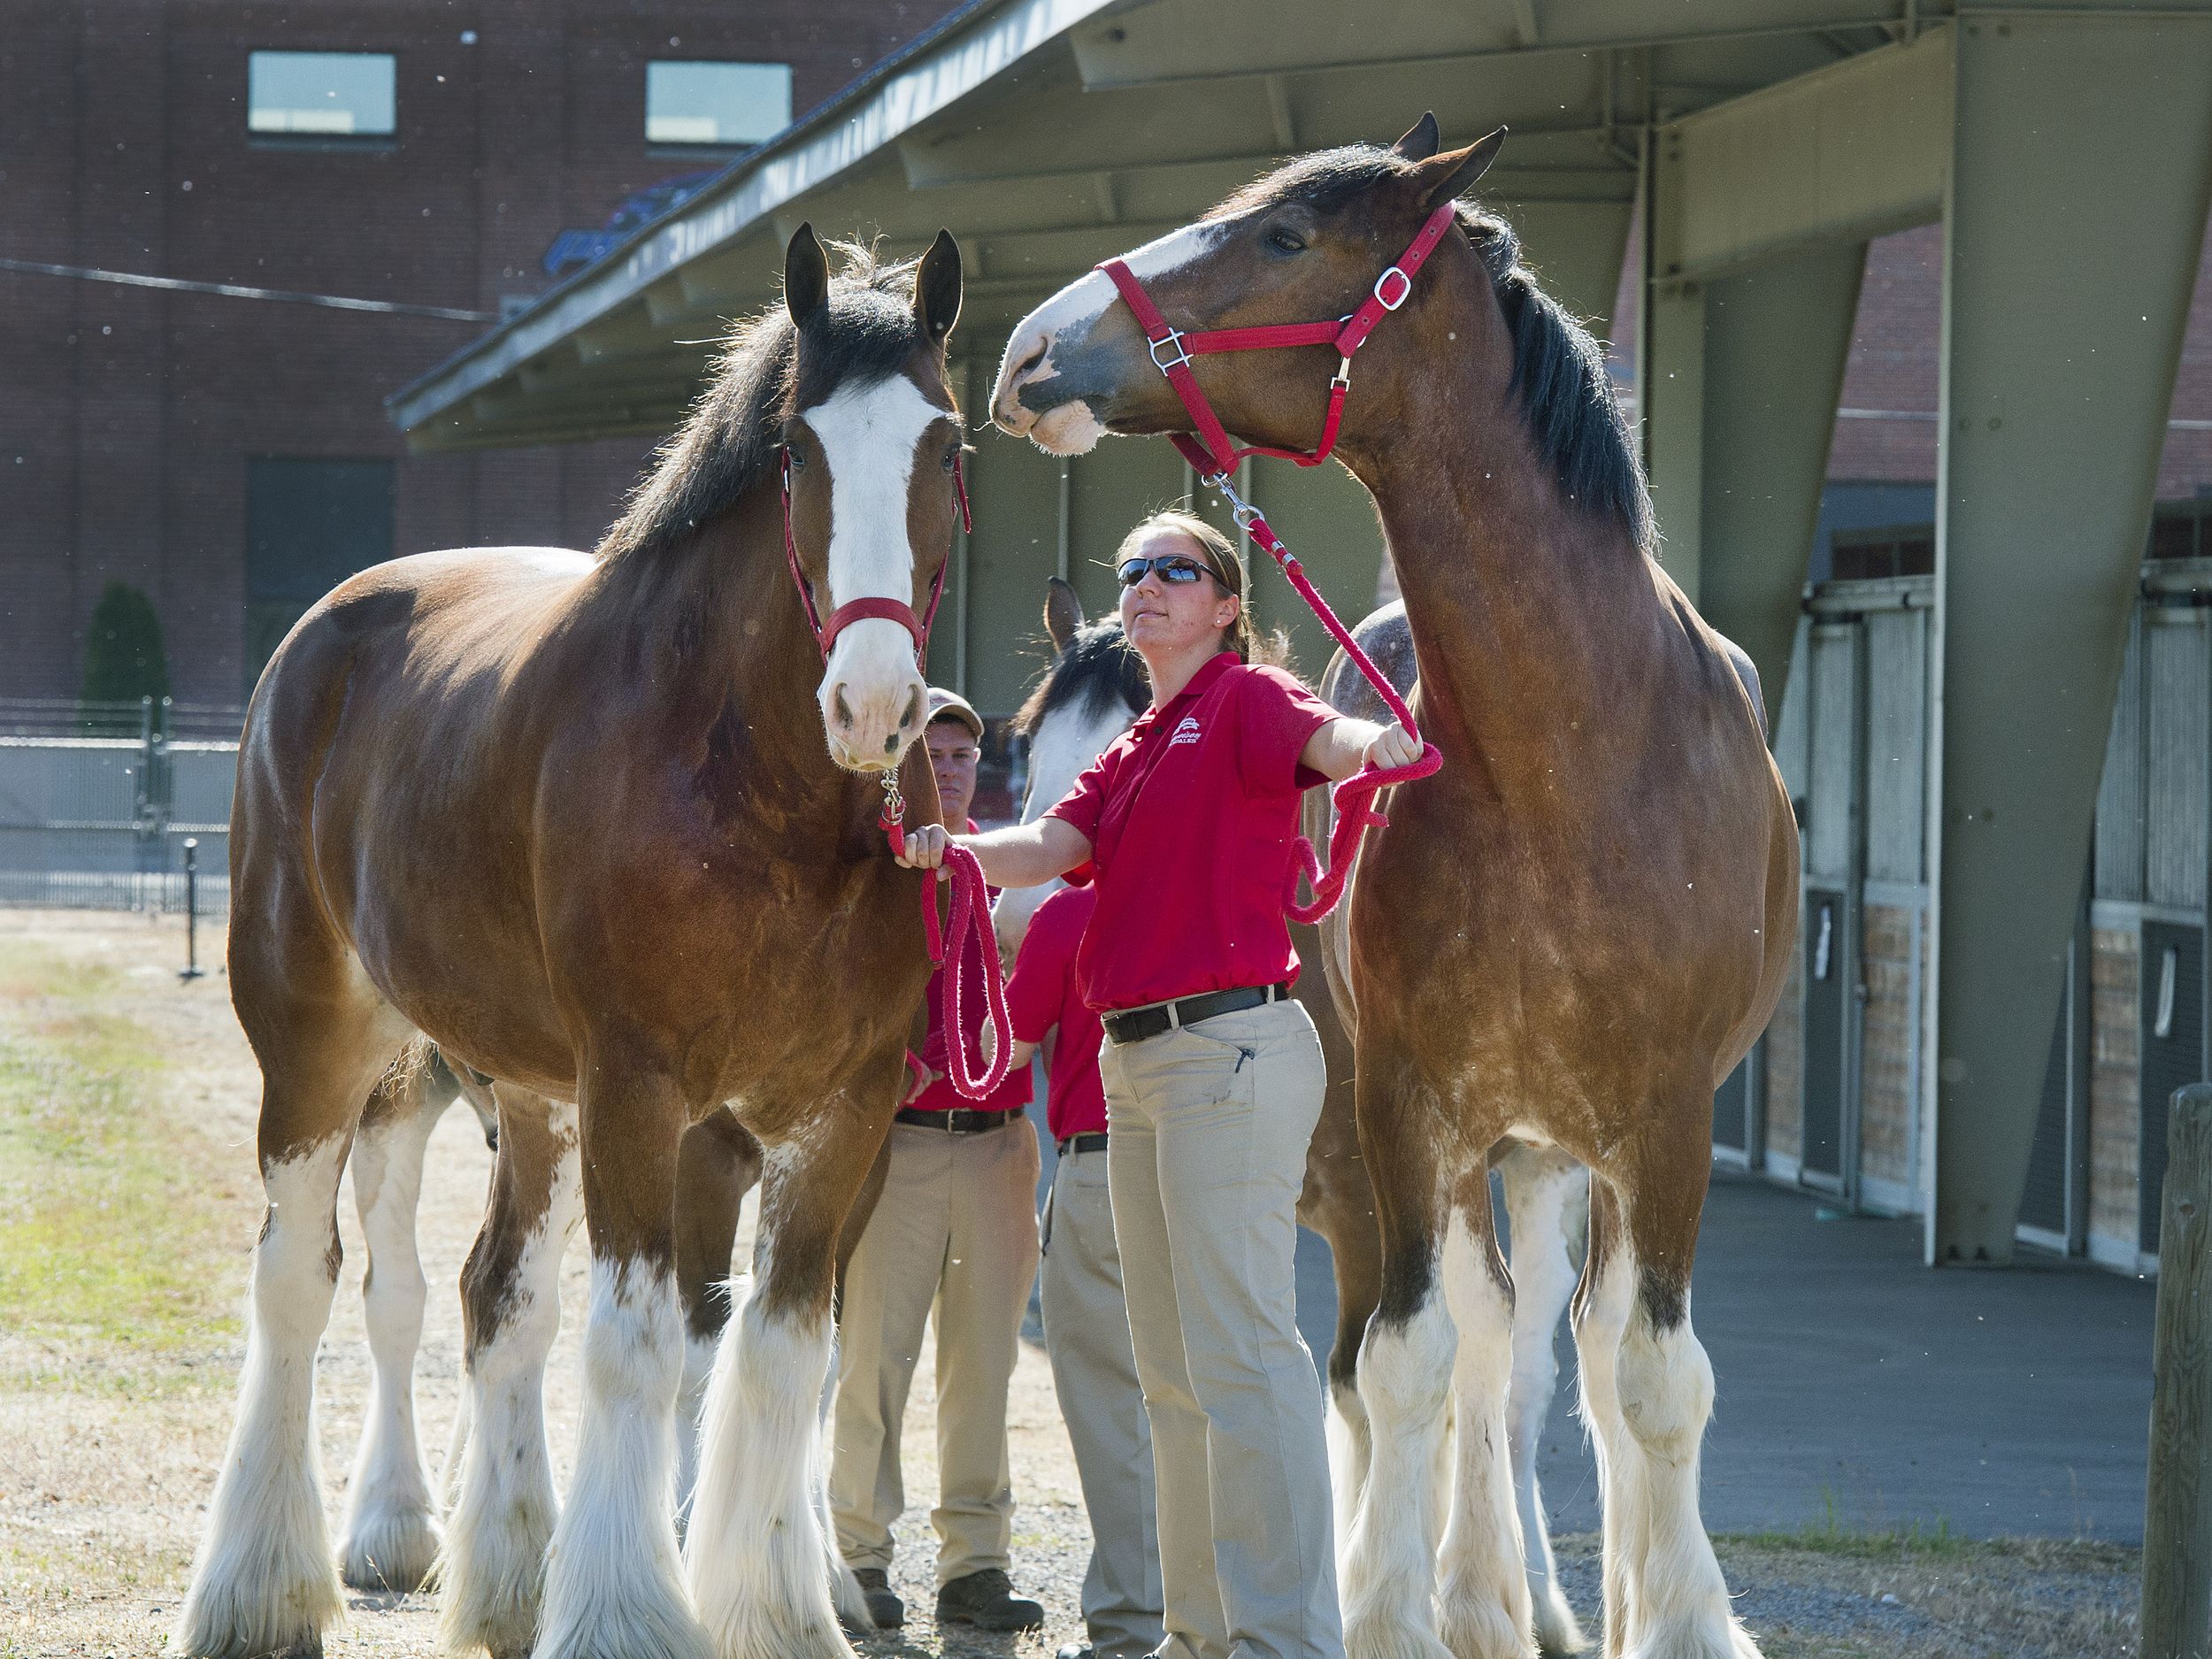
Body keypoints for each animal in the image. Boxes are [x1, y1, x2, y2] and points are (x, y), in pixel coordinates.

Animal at [168, 231, 964, 1659]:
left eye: (948, 445)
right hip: (321, 1046)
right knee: (300, 1280)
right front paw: (625, 1611)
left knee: (501, 1299)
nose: (872, 704)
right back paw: (261, 1587)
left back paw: (507, 1576)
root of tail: (319, 639)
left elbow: (782, 1353)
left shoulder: (846, 1107)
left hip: (531, 1094)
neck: (755, 785)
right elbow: (640, 1345)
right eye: (796, 452)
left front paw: (776, 1606)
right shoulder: (644, 1090)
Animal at [995, 123, 1787, 1659]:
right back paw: (1483, 1588)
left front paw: (1674, 1615)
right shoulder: (1410, 1112)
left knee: (1565, 1356)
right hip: (1487, 1146)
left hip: (1564, 1151)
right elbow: (1410, 1367)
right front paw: (1404, 1602)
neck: (1576, 757)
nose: (1032, 348)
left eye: (1287, 237)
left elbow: (1652, 1381)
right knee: (1484, 1351)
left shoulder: (1668, 1119)